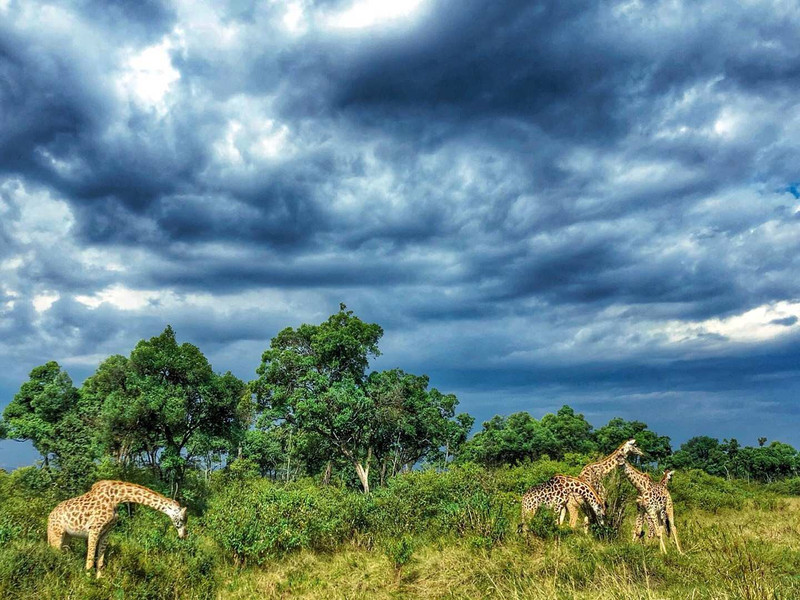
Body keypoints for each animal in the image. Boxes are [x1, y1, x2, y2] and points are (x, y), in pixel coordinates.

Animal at [47, 478, 189, 576]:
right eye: (182, 520)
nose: (184, 536)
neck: (117, 497)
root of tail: (49, 518)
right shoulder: (94, 528)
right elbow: (90, 560)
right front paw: (87, 584)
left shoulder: (106, 532)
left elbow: (100, 562)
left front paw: (99, 582)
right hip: (56, 534)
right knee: (55, 556)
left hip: (67, 537)